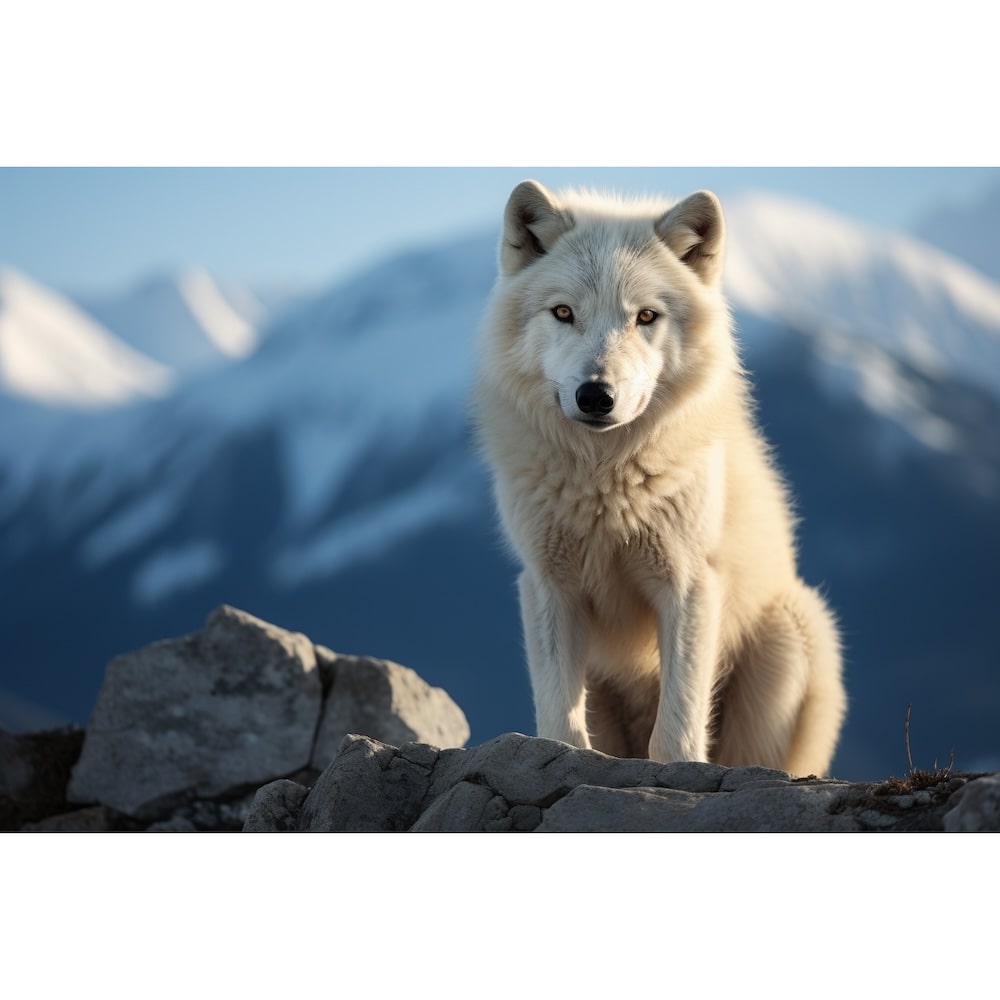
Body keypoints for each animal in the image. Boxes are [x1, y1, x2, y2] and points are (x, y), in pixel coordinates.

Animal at [474, 180, 846, 776]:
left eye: (646, 317)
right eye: (563, 312)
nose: (595, 395)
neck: (604, 482)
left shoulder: (689, 584)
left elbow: (676, 728)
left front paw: (676, 771)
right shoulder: (548, 584)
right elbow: (560, 720)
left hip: (793, 631)